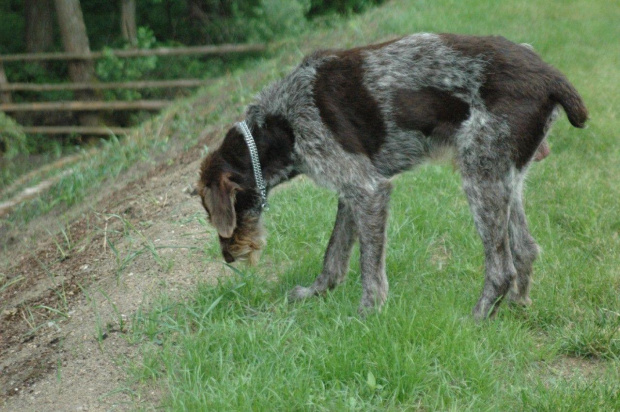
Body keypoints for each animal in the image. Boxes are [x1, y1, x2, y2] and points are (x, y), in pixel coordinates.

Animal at [197, 33, 588, 320]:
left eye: (213, 213)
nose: (227, 257)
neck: (280, 123)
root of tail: (549, 75)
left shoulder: (368, 191)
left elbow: (368, 267)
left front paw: (367, 313)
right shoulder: (350, 193)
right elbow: (334, 255)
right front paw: (315, 293)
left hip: (480, 177)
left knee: (501, 268)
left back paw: (475, 319)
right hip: (505, 176)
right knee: (525, 249)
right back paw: (518, 306)